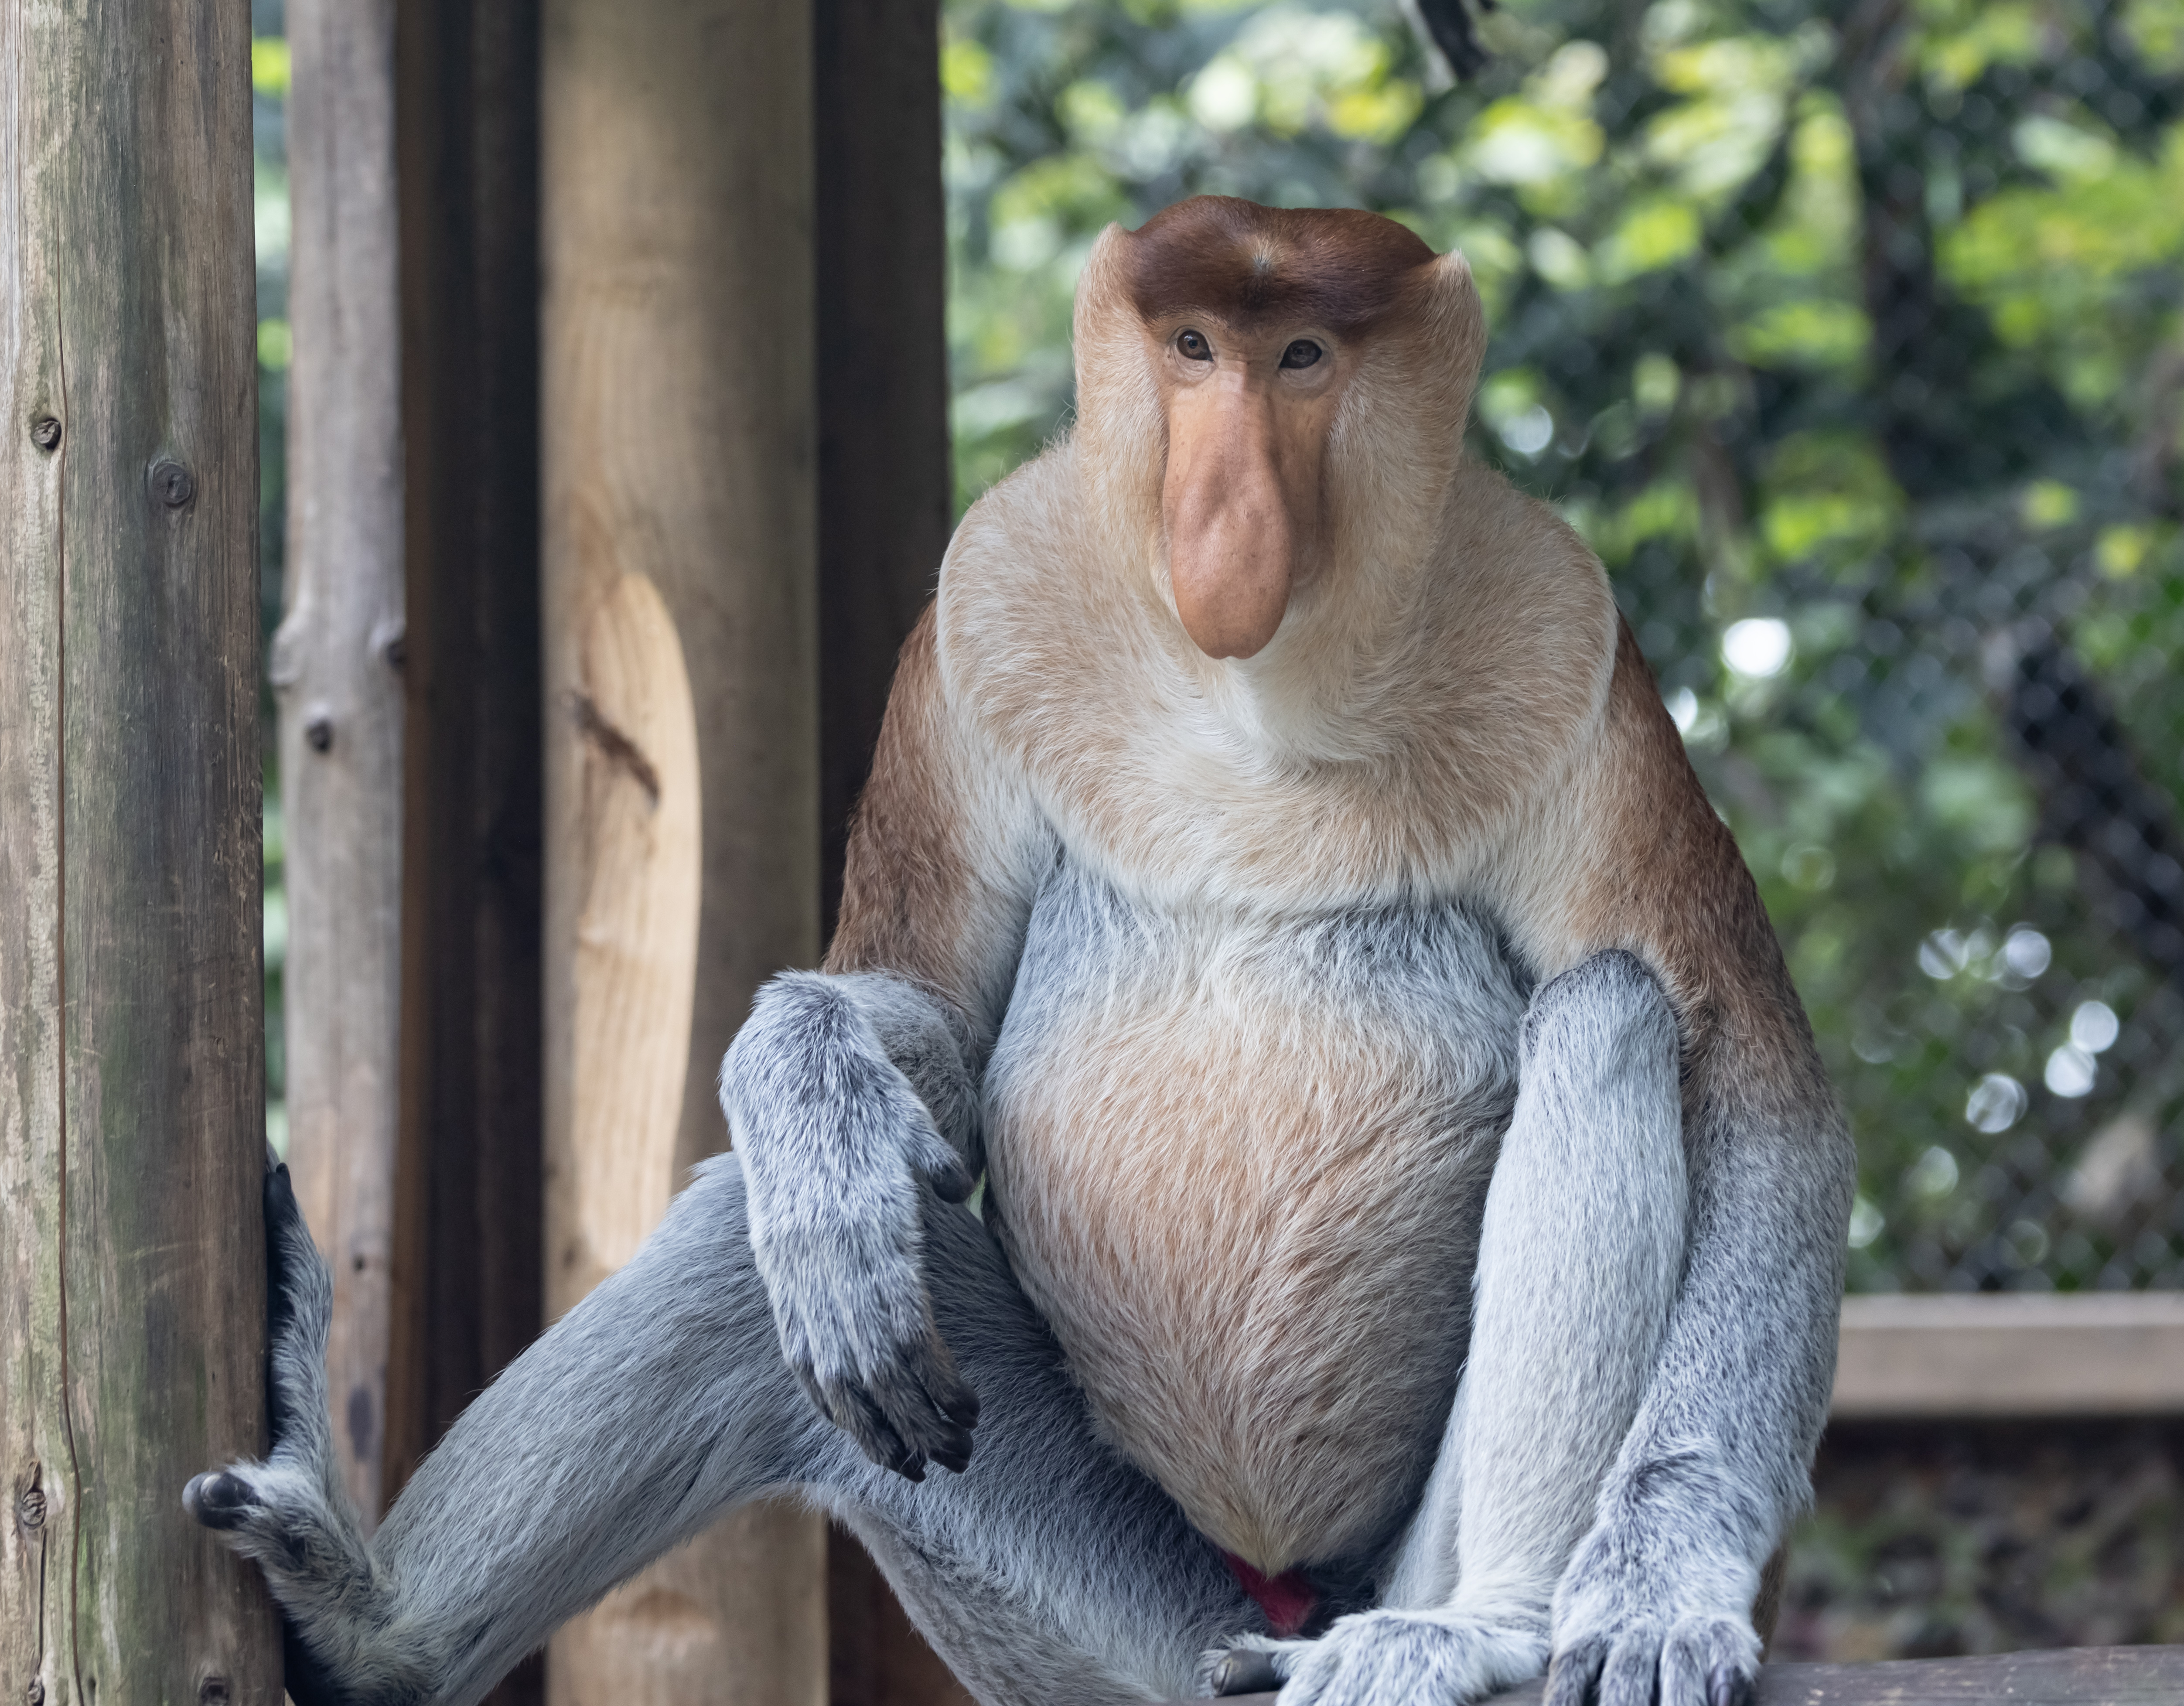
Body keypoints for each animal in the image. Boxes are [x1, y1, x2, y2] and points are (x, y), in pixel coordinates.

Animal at [186, 196, 1853, 1706]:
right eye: (1192, 349)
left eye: (1302, 356)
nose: (1220, 512)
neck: (1259, 688)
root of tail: (1281, 1600)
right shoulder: (972, 629)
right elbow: (924, 1012)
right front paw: (814, 1107)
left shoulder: (1577, 660)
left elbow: (1757, 1097)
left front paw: (1658, 1590)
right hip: (1109, 1619)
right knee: (740, 1258)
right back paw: (373, 1629)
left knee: (1609, 1011)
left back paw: (1472, 1628)